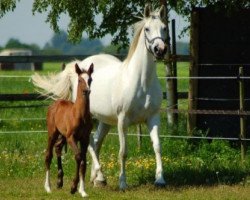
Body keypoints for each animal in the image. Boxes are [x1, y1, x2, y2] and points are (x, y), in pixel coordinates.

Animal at [32, 3, 167, 190]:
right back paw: (100, 176)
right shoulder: (122, 120)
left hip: (105, 120)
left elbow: (158, 147)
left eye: (164, 28)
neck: (141, 81)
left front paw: (160, 179)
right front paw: (122, 183)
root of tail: (78, 67)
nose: (160, 50)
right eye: (147, 29)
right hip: (89, 118)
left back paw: (95, 178)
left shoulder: (153, 118)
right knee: (90, 143)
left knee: (95, 142)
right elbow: (123, 152)